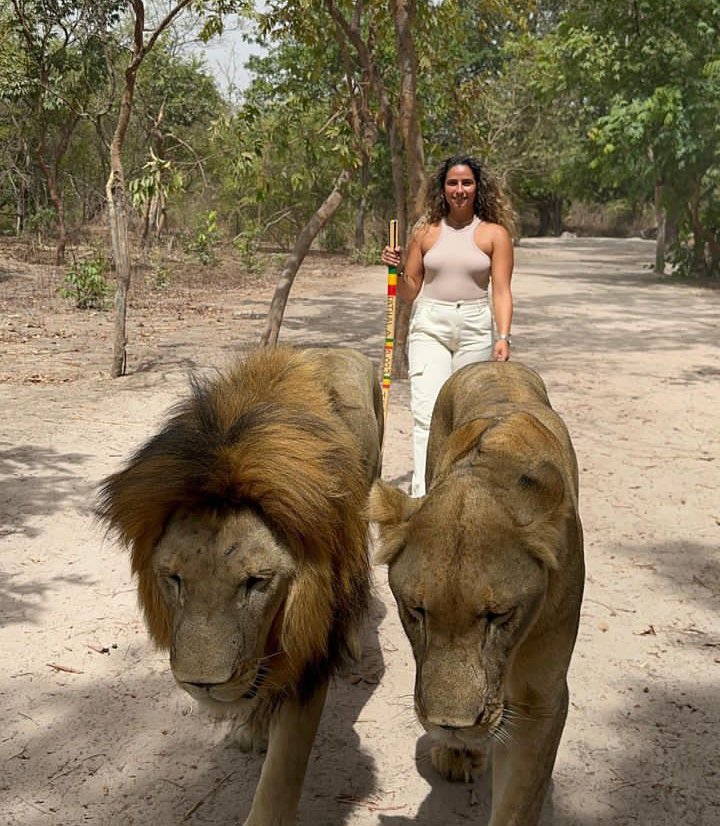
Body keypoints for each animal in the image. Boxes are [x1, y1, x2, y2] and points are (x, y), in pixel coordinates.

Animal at [98, 346, 386, 824]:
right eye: (174, 579)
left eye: (255, 582)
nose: (202, 684)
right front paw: (253, 727)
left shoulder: (311, 646)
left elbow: (284, 769)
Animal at [368, 362, 584, 824]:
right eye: (416, 611)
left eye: (499, 616)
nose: (452, 723)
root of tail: (496, 362)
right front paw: (458, 746)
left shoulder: (541, 698)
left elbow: (518, 802)